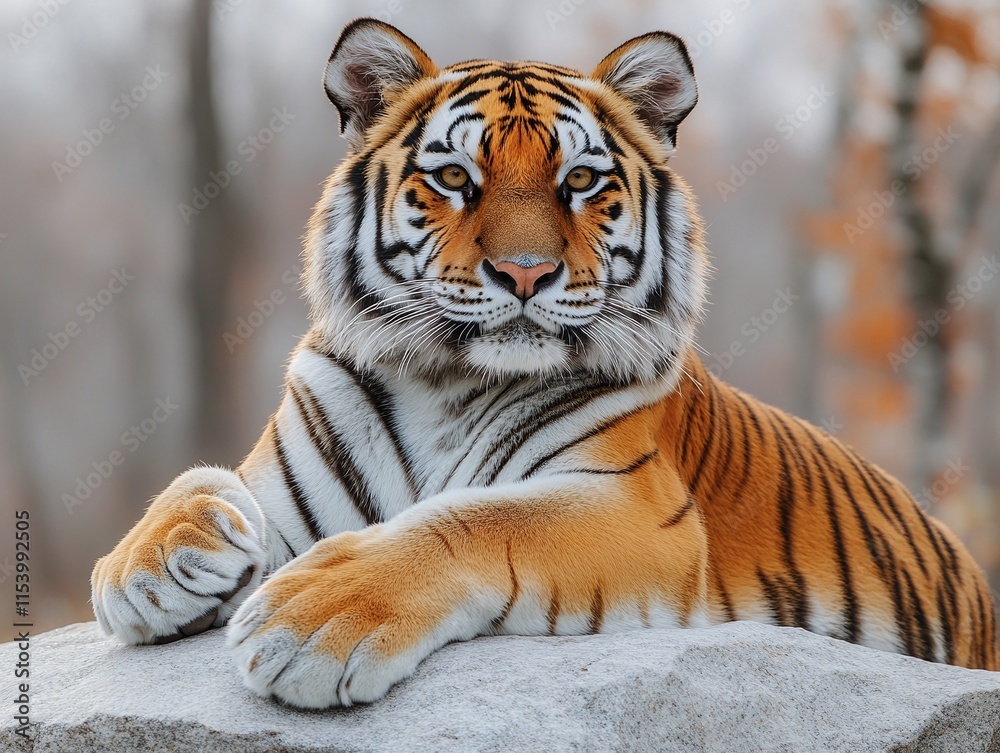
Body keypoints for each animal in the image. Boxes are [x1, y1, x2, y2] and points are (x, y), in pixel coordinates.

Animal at [90, 18, 998, 709]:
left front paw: (310, 616)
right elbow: (202, 476)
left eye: (582, 180)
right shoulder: (290, 480)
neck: (446, 381)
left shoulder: (638, 507)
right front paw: (151, 562)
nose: (525, 273)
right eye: (454, 176)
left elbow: (478, 518)